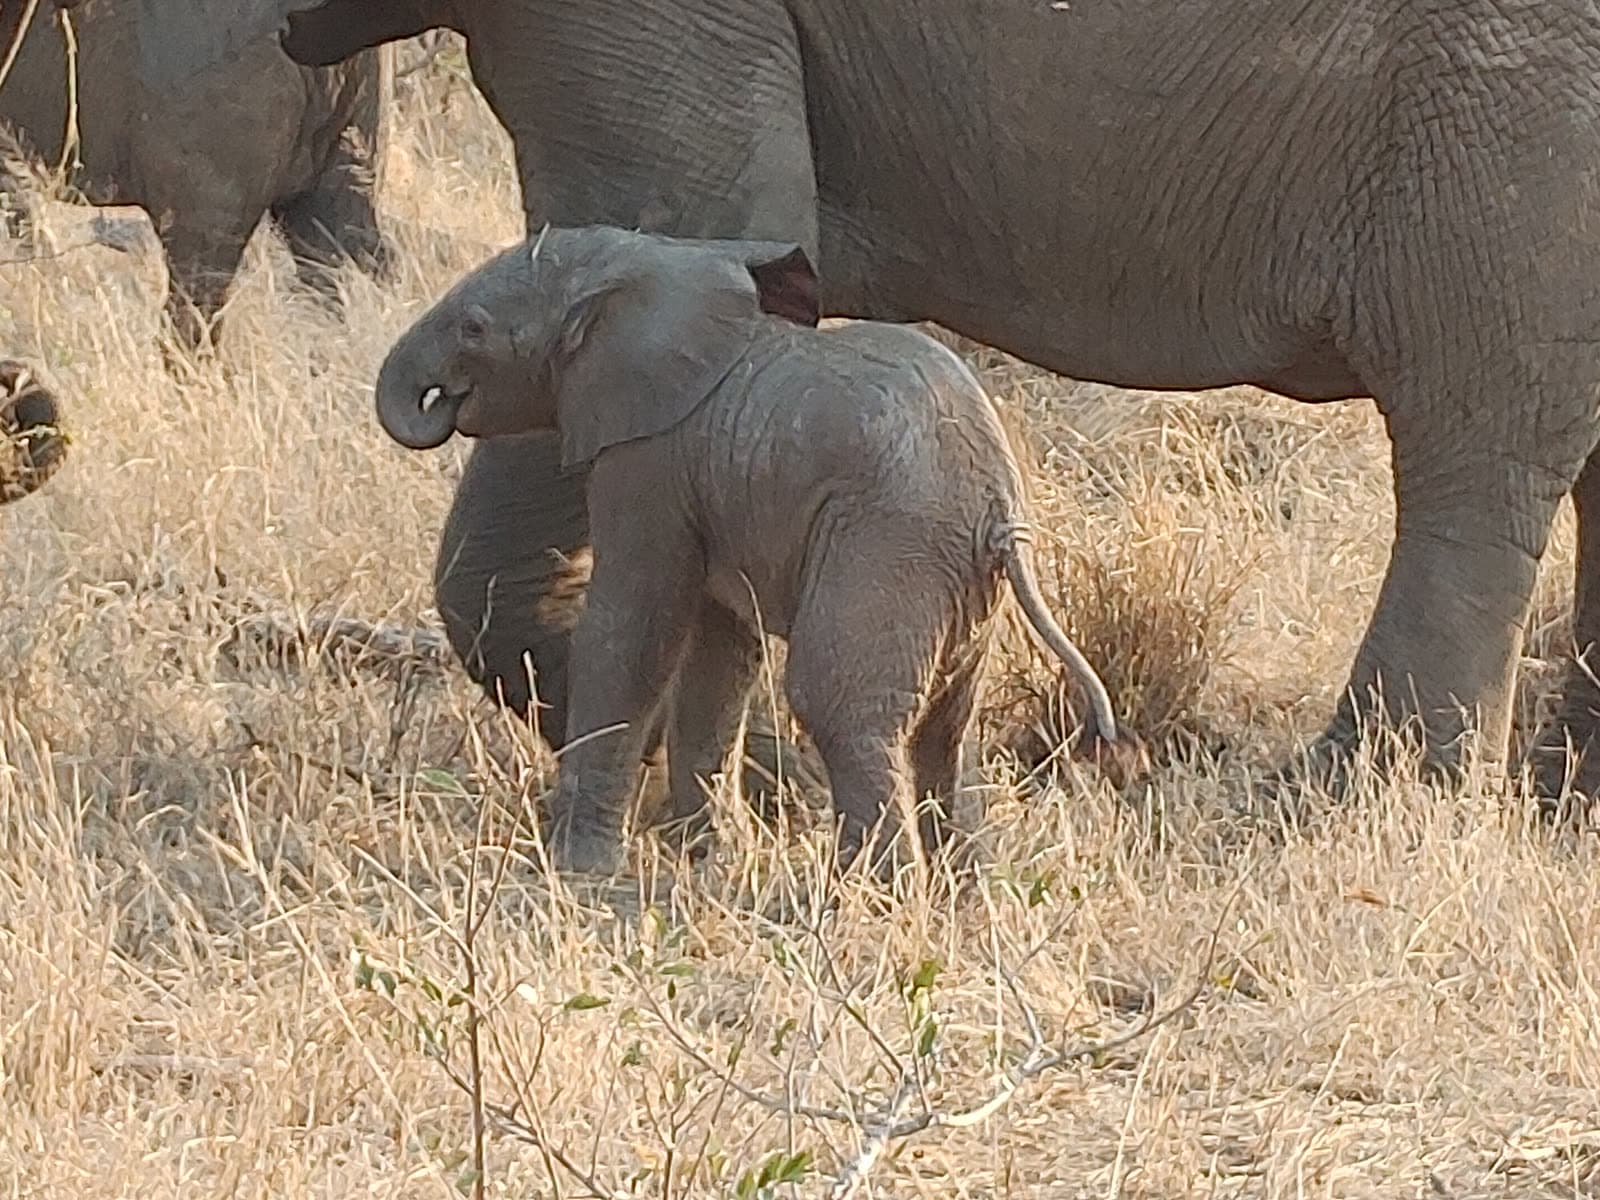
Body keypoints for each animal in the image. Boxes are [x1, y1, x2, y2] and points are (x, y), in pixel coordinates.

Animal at [281, 0, 1600, 807]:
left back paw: (1338, 803)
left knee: (1478, 432)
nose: (424, 395)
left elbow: (677, 217)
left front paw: (741, 774)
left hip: (1518, 99)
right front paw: (730, 769)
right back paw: (1562, 797)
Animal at [373, 225, 1118, 873]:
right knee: (943, 728)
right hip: (957, 583)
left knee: (838, 706)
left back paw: (868, 896)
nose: (435, 401)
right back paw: (957, 889)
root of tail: (998, 506)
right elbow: (720, 648)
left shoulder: (650, 458)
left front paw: (583, 869)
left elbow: (633, 629)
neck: (647, 261)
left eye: (473, 328)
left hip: (888, 547)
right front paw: (707, 857)